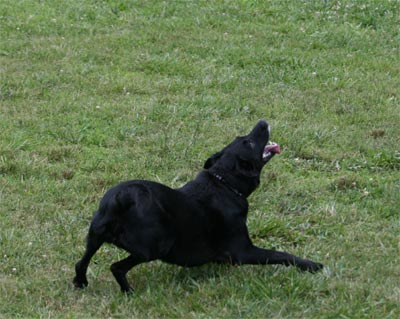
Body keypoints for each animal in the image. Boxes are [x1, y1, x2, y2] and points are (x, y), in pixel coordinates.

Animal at [73, 120, 324, 296]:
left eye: (243, 137)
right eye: (250, 143)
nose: (262, 122)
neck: (224, 182)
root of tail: (121, 198)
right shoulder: (242, 251)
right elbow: (280, 255)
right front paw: (312, 265)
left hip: (95, 234)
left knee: (81, 262)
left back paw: (80, 282)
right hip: (153, 246)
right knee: (117, 267)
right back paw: (128, 292)